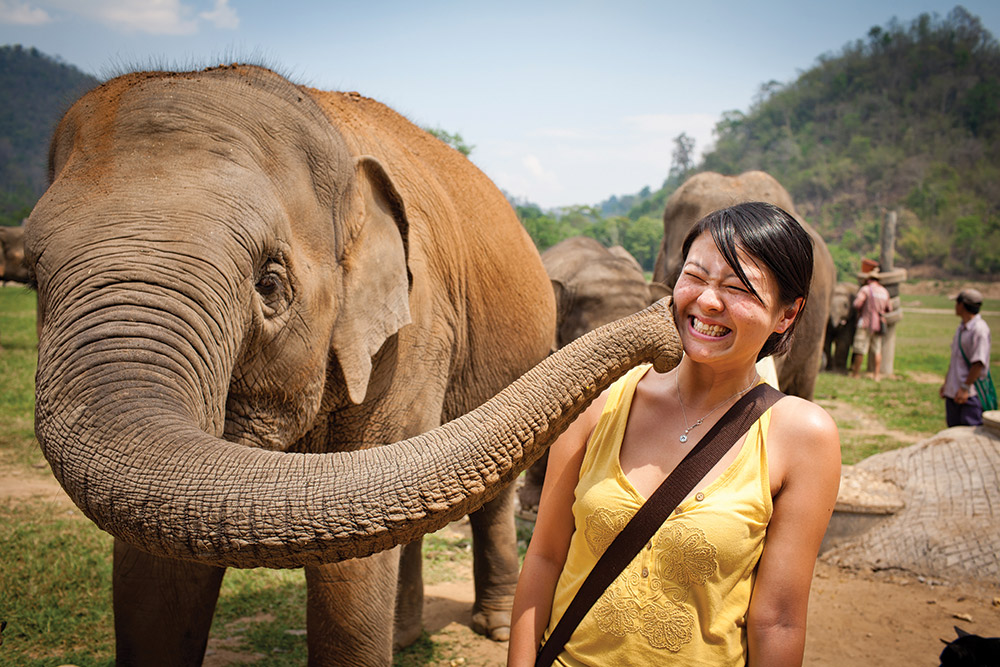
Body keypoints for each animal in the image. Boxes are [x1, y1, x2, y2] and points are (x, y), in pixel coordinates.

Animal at [19, 63, 625, 666]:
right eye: (32, 275)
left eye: (269, 283)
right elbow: (155, 553)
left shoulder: (416, 329)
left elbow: (359, 535)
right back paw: (403, 637)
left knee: (489, 499)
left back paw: (493, 629)